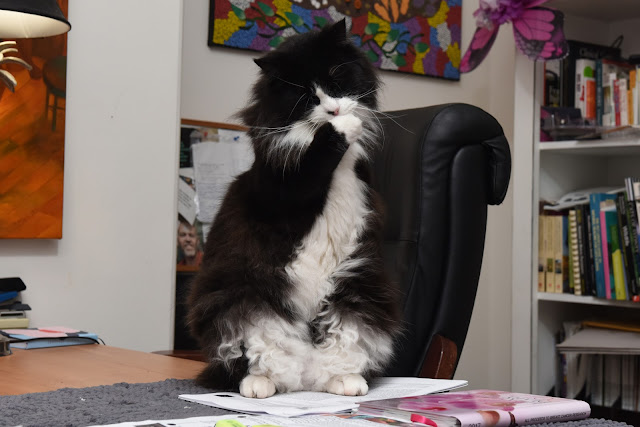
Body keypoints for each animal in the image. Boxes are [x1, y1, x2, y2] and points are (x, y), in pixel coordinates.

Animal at [186, 19, 401, 399]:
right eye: (307, 96)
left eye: (335, 80)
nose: (333, 109)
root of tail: (306, 381)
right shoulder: (281, 190)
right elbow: (319, 152)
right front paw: (341, 128)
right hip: (243, 300)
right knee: (261, 359)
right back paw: (260, 386)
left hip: (357, 293)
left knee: (339, 349)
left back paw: (344, 382)